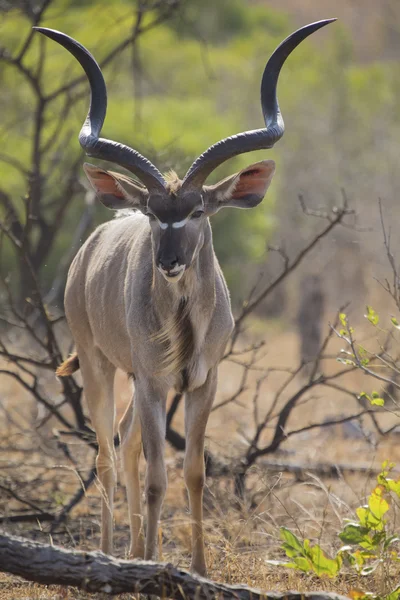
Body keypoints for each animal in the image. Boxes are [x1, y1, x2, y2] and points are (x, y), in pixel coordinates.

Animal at [35, 17, 334, 572]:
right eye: (154, 213)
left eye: (198, 210)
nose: (169, 261)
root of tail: (86, 252)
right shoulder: (155, 381)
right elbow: (158, 477)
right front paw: (154, 562)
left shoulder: (201, 382)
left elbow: (193, 470)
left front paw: (196, 566)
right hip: (98, 364)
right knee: (108, 453)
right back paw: (111, 553)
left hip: (133, 381)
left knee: (127, 441)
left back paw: (132, 549)